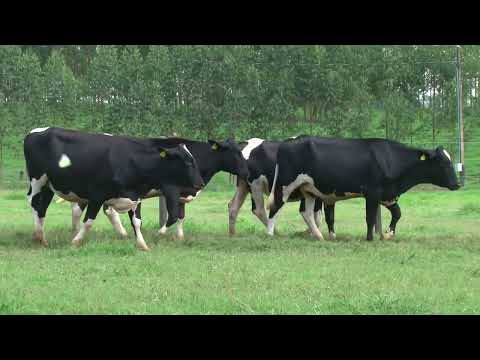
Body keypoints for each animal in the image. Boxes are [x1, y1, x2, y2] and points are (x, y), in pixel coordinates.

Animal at [24, 127, 204, 250]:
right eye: (187, 162)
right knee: (33, 202)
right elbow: (88, 221)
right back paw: (38, 236)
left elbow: (137, 222)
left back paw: (41, 238)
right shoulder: (96, 195)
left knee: (42, 208)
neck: (129, 160)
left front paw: (142, 245)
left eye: (194, 159)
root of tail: (36, 132)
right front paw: (76, 241)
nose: (201, 183)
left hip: (48, 186)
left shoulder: (135, 197)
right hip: (37, 180)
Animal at [72, 136, 249, 240]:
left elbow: (181, 216)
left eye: (241, 151)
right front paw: (159, 233)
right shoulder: (170, 189)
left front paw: (180, 237)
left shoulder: (183, 192)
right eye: (234, 153)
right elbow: (173, 215)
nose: (246, 172)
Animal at [266, 138, 462, 242]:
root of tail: (288, 142)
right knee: (275, 207)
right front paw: (370, 238)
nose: (457, 184)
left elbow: (397, 213)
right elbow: (370, 218)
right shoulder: (372, 193)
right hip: (285, 185)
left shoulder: (387, 194)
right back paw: (269, 233)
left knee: (306, 212)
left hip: (308, 189)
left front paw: (388, 233)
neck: (390, 158)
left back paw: (319, 236)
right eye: (443, 164)